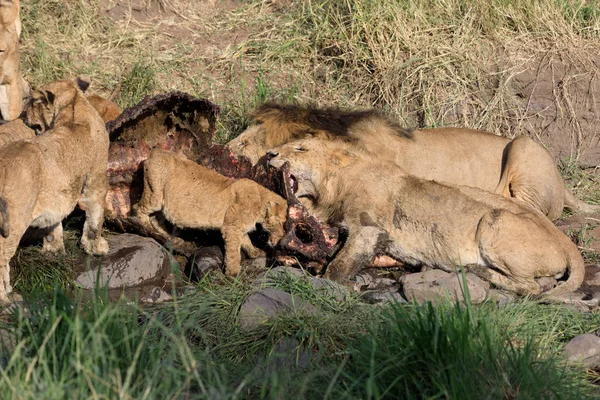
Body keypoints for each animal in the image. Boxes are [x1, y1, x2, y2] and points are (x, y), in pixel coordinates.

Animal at [134, 148, 288, 276]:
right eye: (282, 223)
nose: (281, 239)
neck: (261, 202)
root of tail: (155, 153)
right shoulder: (230, 228)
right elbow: (234, 253)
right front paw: (232, 274)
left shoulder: (236, 226)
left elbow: (247, 242)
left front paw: (256, 253)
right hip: (154, 195)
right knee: (138, 209)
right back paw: (147, 229)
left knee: (156, 219)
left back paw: (172, 238)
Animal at [268, 138, 584, 296]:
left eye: (300, 148)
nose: (269, 154)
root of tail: (568, 244)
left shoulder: (369, 228)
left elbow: (339, 265)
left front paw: (342, 282)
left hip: (495, 220)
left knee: (532, 287)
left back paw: (477, 271)